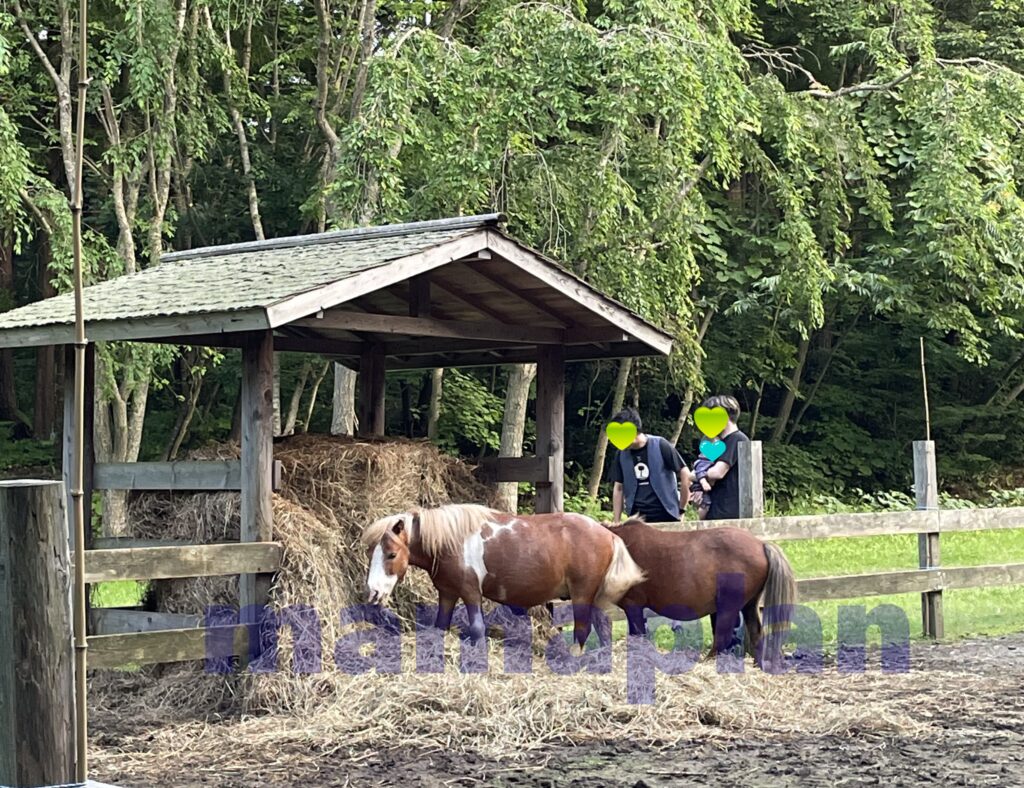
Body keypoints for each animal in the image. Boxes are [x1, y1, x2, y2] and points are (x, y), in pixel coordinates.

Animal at [363, 504, 646, 653]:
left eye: (391, 553)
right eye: (370, 552)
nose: (374, 592)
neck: (451, 541)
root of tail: (608, 533)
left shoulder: (470, 592)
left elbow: (477, 629)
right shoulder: (448, 592)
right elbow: (440, 625)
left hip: (582, 595)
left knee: (583, 630)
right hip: (592, 597)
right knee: (603, 627)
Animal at [607, 517, 796, 668]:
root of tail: (761, 544)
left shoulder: (633, 605)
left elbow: (638, 636)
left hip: (728, 608)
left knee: (722, 639)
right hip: (748, 605)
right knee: (756, 634)